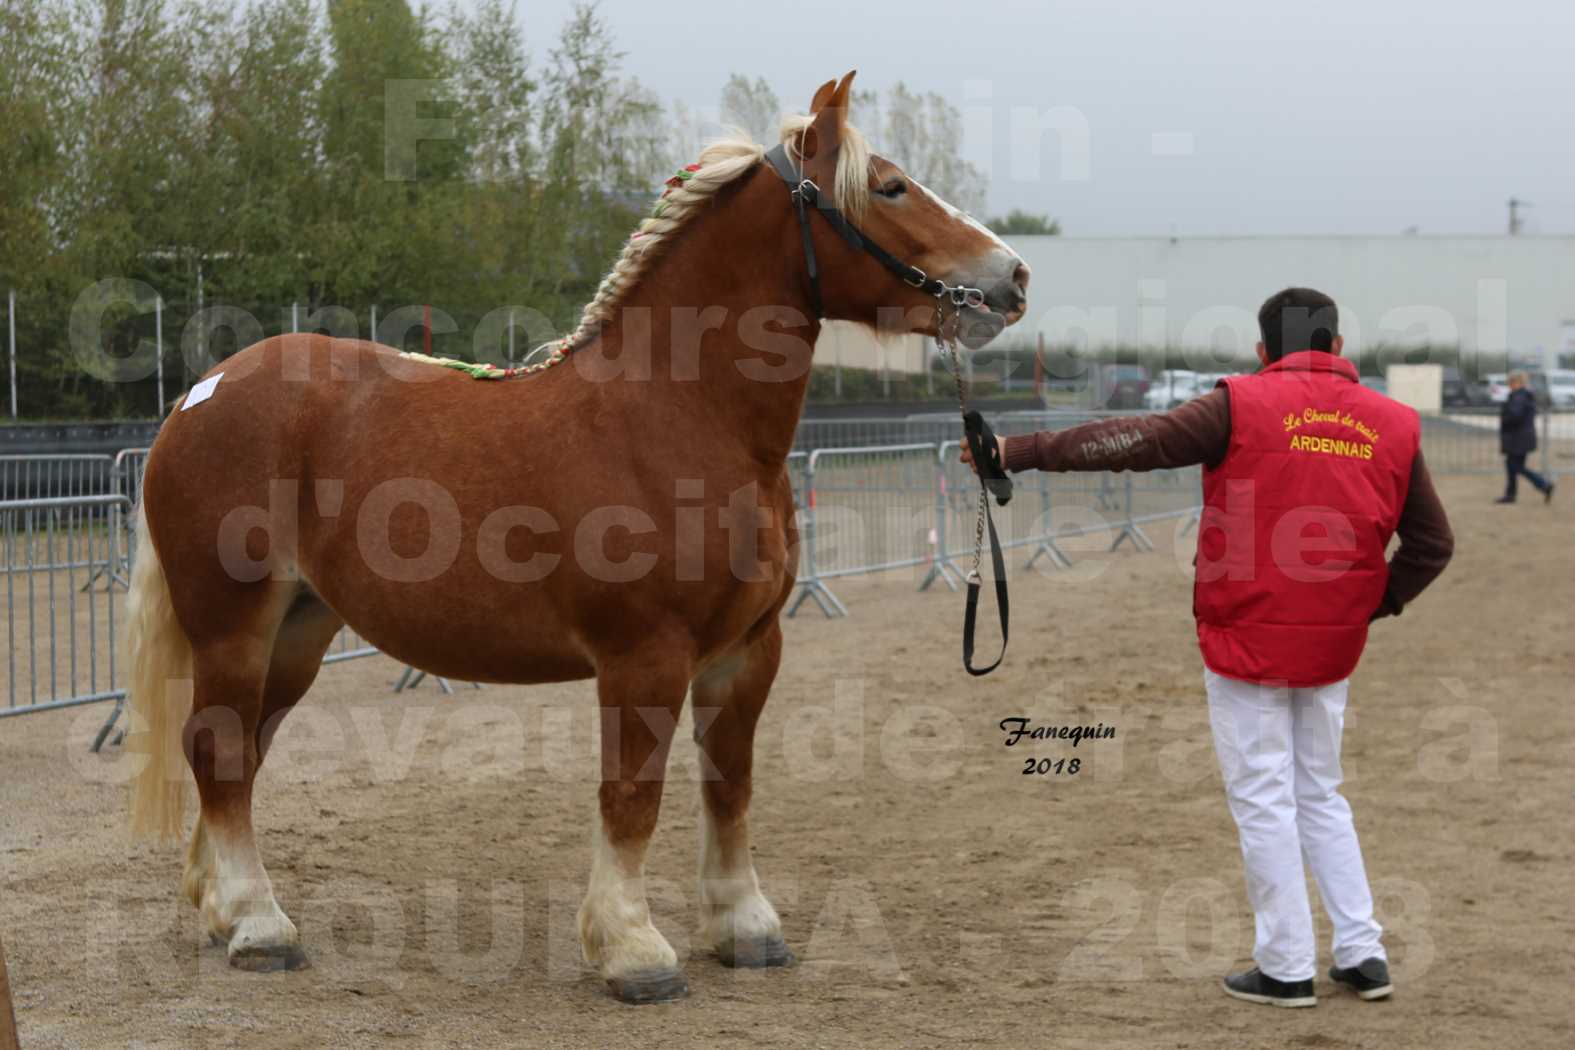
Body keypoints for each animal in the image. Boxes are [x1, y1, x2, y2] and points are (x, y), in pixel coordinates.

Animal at [126, 69, 1033, 1007]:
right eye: (888, 186)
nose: (1011, 277)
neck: (672, 412)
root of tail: (199, 394)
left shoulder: (747, 651)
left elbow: (730, 784)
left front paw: (743, 927)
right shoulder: (645, 655)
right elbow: (632, 797)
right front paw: (632, 950)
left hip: (299, 629)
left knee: (236, 750)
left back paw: (221, 908)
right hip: (232, 624)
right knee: (220, 749)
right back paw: (259, 926)